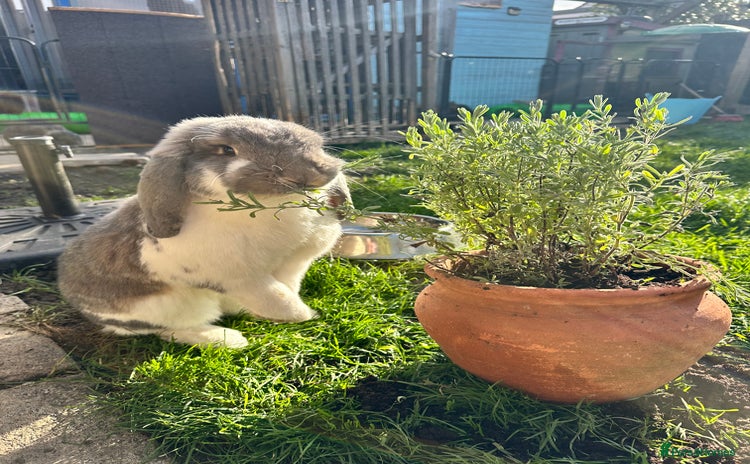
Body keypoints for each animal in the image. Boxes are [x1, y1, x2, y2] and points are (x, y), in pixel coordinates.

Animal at [57, 115, 350, 348]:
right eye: (227, 150)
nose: (311, 174)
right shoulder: (240, 279)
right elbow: (278, 298)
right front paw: (306, 315)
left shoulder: (295, 264)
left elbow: (287, 289)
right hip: (169, 307)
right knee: (170, 331)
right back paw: (228, 340)